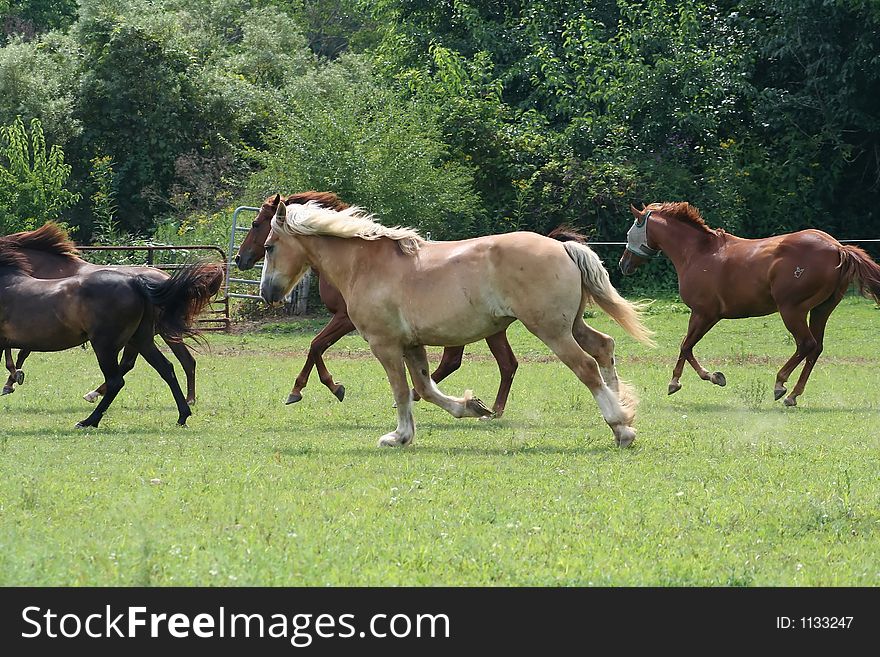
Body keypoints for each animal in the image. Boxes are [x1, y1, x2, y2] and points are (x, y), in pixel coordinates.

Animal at [0, 226, 225, 428]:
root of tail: (140, 283)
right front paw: (13, 378)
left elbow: (19, 354)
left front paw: (12, 380)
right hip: (142, 339)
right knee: (166, 367)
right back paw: (183, 414)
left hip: (107, 344)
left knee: (120, 378)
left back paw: (89, 419)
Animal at [237, 190, 520, 416]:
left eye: (256, 223)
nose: (240, 259)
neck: (355, 262)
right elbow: (316, 347)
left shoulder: (345, 319)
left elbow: (316, 345)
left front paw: (317, 388)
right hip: (481, 329)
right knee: (497, 363)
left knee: (490, 363)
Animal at [260, 200, 652, 446]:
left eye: (268, 245)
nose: (267, 292)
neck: (366, 265)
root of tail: (563, 247)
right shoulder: (411, 345)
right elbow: (426, 388)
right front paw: (469, 408)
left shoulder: (385, 345)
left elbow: (402, 391)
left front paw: (397, 436)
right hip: (572, 325)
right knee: (603, 348)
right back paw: (624, 412)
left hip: (551, 330)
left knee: (586, 366)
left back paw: (621, 428)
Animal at [616, 202, 880, 404]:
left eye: (628, 234)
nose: (623, 264)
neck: (698, 253)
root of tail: (837, 247)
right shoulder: (704, 315)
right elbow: (687, 346)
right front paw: (705, 377)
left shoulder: (704, 313)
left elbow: (685, 345)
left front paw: (692, 380)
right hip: (820, 310)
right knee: (816, 348)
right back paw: (793, 395)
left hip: (792, 310)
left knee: (806, 344)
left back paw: (780, 384)